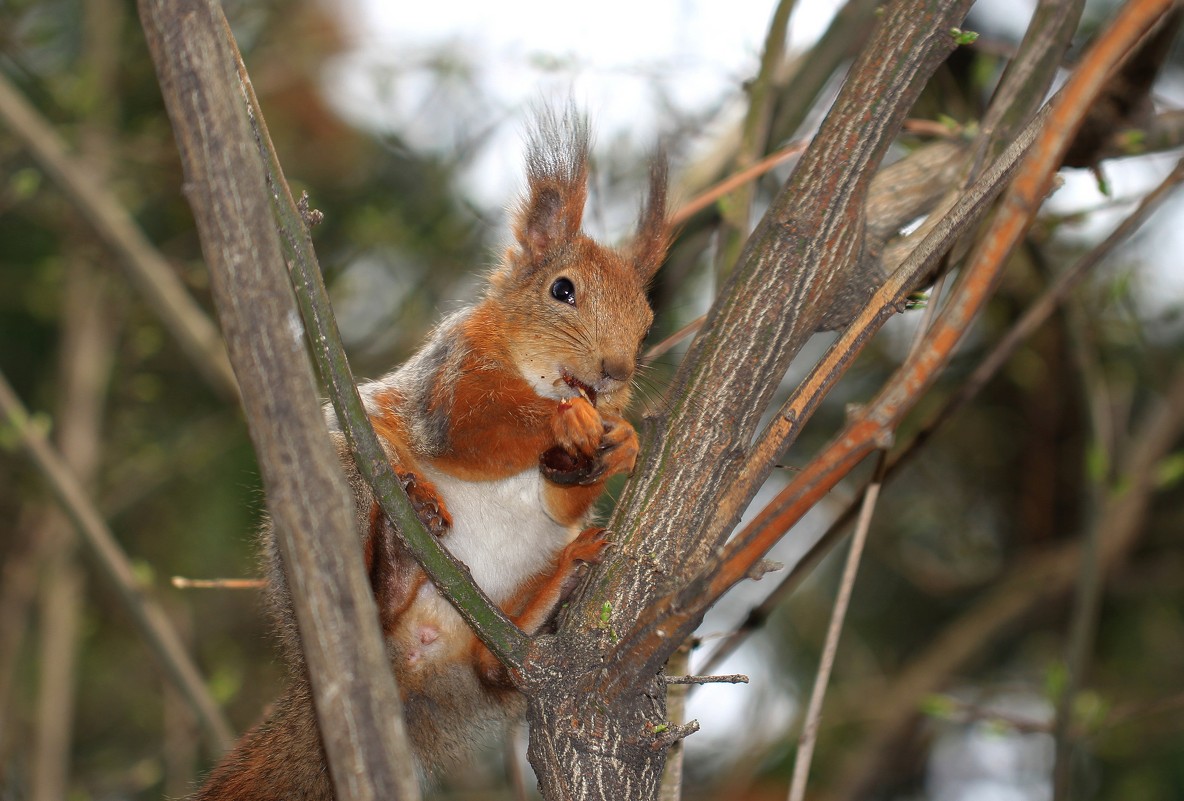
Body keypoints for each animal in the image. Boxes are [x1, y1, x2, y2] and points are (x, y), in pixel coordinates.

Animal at [198, 109, 672, 795]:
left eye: (646, 322)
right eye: (562, 290)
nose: (615, 373)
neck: (531, 372)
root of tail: (409, 664)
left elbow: (560, 500)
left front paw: (623, 441)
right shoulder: (448, 382)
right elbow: (476, 432)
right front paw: (566, 419)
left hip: (503, 619)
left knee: (496, 669)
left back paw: (554, 592)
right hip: (347, 482)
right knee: (374, 600)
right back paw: (395, 568)